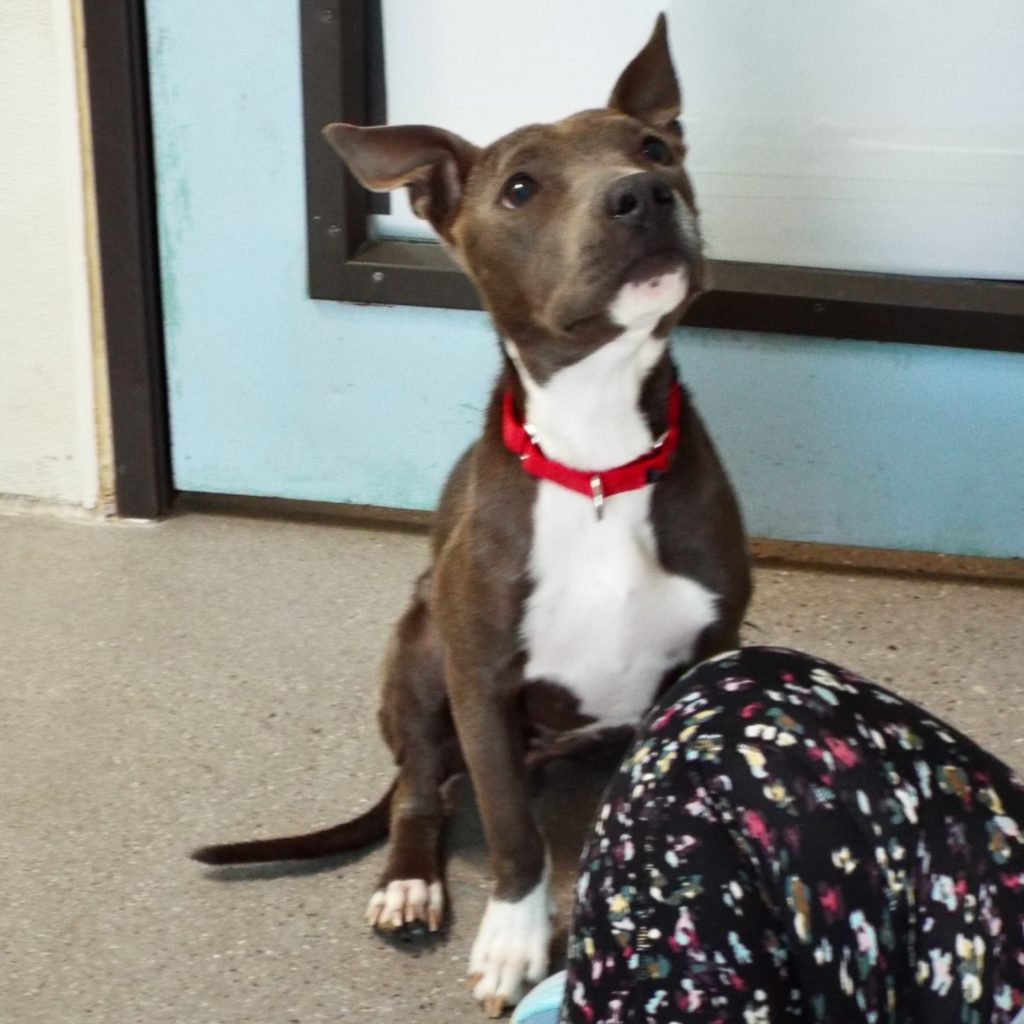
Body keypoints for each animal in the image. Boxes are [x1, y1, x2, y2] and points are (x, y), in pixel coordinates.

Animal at [193, 15, 750, 1016]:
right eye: (520, 187)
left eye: (653, 147)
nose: (643, 193)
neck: (597, 460)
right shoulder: (480, 681)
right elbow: (512, 834)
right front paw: (515, 941)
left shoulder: (703, 659)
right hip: (420, 654)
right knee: (422, 788)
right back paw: (410, 881)